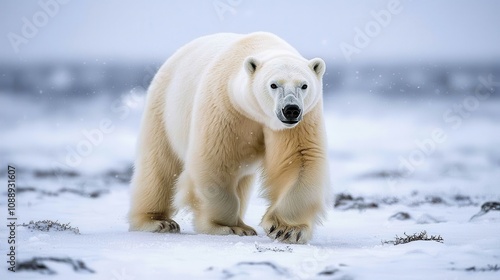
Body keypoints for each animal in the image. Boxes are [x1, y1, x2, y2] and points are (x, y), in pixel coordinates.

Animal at [129, 32, 330, 243]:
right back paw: (158, 221)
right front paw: (228, 227)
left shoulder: (301, 121)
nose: (291, 109)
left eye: (304, 85)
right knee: (160, 165)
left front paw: (286, 229)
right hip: (164, 110)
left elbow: (300, 159)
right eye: (273, 85)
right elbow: (216, 160)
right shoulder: (226, 106)